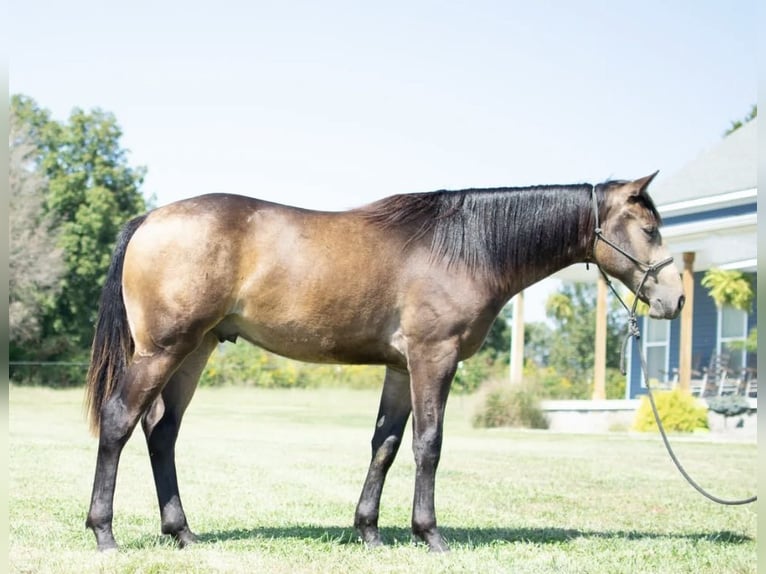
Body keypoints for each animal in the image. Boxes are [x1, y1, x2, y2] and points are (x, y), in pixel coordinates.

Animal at [82, 174, 684, 552]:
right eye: (649, 229)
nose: (675, 300)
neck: (464, 246)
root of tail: (150, 219)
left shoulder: (400, 367)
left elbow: (386, 444)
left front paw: (368, 530)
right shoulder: (434, 357)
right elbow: (428, 445)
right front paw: (430, 533)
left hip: (197, 349)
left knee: (162, 432)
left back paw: (182, 532)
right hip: (164, 349)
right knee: (120, 420)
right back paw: (105, 532)